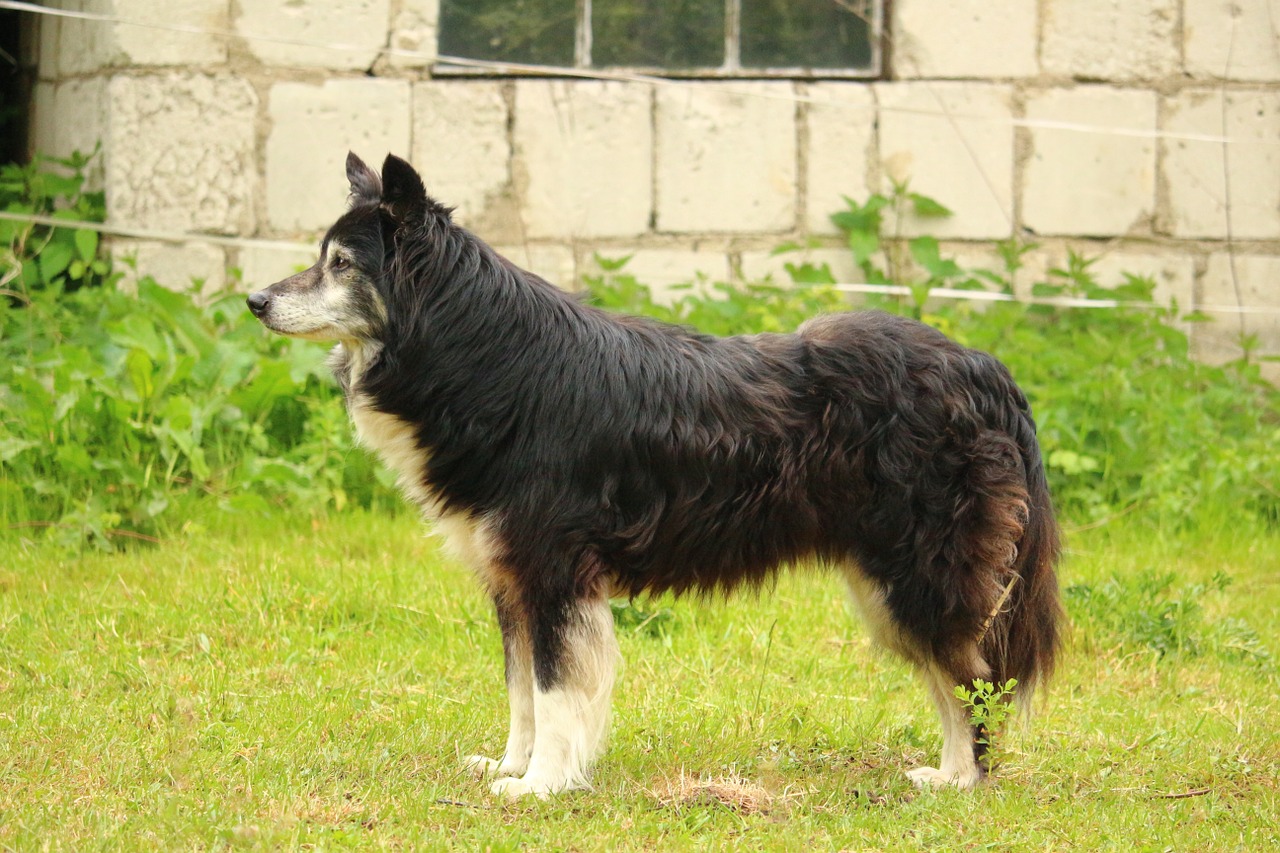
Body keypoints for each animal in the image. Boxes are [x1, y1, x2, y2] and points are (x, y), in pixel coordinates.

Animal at [247, 149, 1059, 794]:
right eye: (322, 258)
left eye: (342, 265)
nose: (254, 300)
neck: (487, 357)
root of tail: (986, 370)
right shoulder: (510, 578)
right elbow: (520, 690)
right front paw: (512, 766)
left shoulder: (553, 570)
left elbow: (555, 688)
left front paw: (540, 785)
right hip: (891, 577)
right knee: (954, 675)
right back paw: (950, 773)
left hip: (918, 569)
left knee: (973, 676)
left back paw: (964, 780)